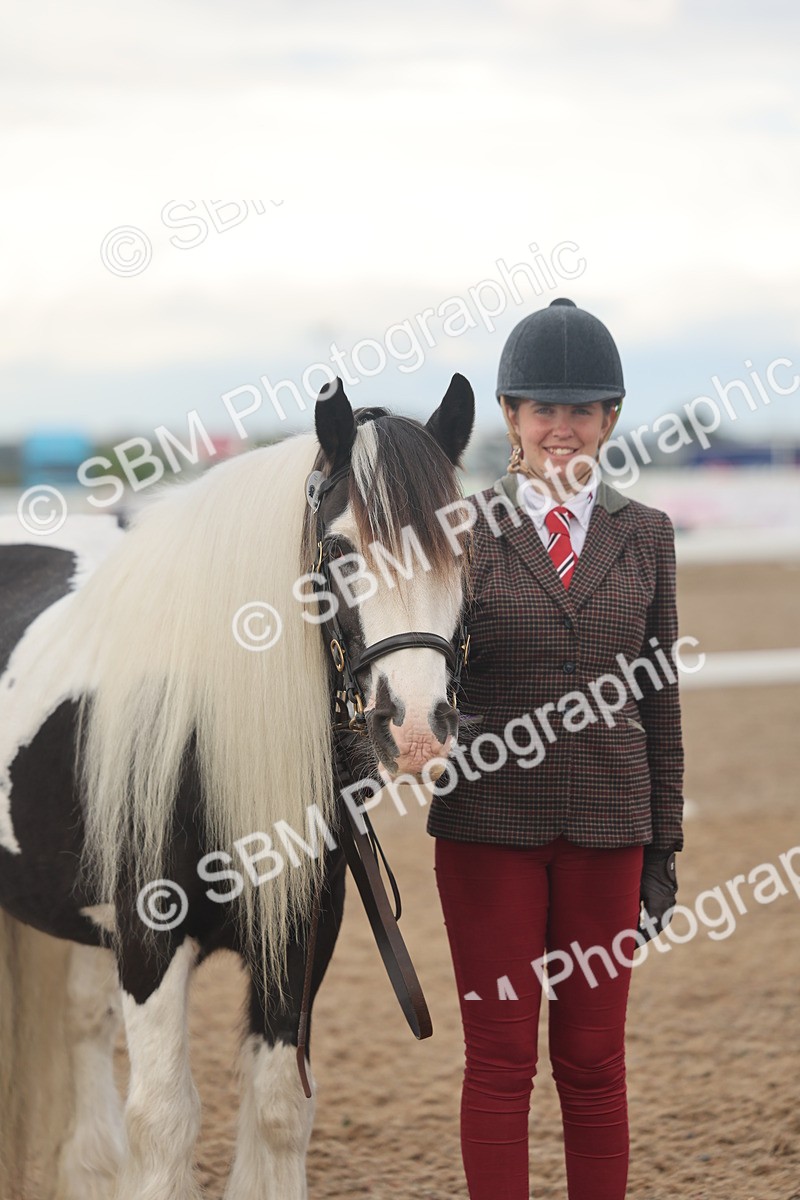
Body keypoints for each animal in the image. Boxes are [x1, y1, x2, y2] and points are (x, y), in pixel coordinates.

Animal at [0, 373, 474, 1200]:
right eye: (339, 550)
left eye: (461, 544)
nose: (417, 726)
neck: (201, 730)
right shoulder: (151, 943)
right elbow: (163, 1118)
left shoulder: (299, 936)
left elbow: (280, 1105)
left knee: (83, 1024)